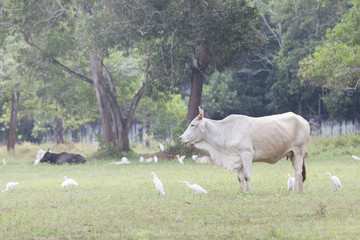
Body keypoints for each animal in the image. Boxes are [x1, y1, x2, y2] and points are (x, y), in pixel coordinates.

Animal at [180, 107, 310, 193]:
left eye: (193, 125)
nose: (180, 138)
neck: (227, 131)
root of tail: (303, 120)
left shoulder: (247, 154)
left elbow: (247, 176)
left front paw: (248, 192)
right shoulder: (238, 157)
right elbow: (240, 178)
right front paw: (240, 192)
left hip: (299, 151)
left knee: (298, 172)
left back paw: (295, 191)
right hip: (292, 154)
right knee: (299, 172)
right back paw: (300, 190)